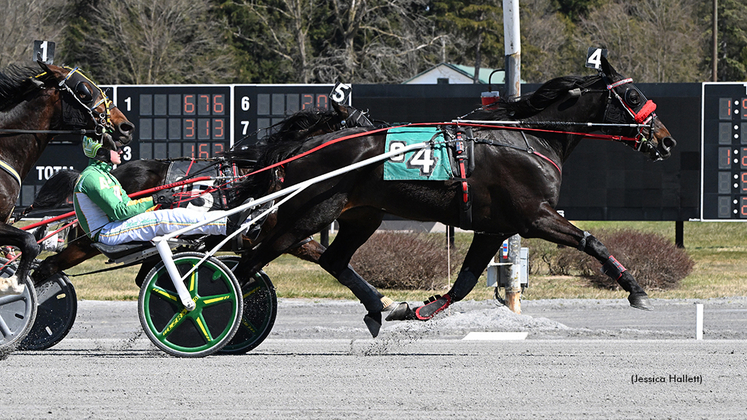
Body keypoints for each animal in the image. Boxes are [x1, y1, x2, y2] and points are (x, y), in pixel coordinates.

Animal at [228, 55, 676, 328]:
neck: (530, 138)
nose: (666, 140)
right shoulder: (533, 216)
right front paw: (637, 291)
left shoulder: (494, 228)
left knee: (332, 259)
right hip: (311, 211)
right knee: (251, 260)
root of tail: (304, 145)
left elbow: (464, 282)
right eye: (632, 95)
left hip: (361, 214)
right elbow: (591, 240)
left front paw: (424, 307)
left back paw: (384, 307)